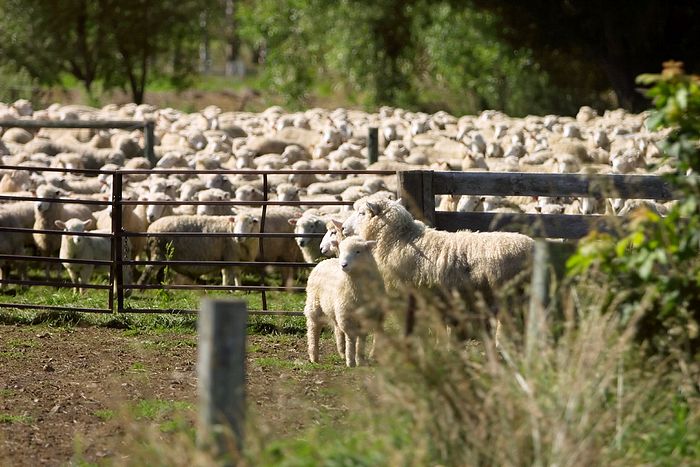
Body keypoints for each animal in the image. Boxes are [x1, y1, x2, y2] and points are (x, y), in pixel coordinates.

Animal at [304, 236, 384, 367]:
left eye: (358, 251)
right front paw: (351, 361)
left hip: (335, 309)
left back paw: (342, 352)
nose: (343, 265)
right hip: (314, 305)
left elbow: (361, 338)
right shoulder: (347, 316)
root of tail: (325, 261)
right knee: (313, 329)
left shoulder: (366, 315)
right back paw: (314, 356)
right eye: (341, 251)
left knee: (337, 328)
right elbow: (351, 338)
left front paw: (360, 360)